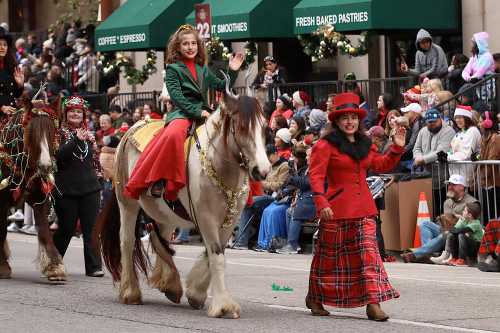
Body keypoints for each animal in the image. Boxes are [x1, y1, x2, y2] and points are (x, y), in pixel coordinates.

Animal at [0, 91, 66, 280]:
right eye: (30, 131)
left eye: (52, 131)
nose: (45, 166)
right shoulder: (2, 199)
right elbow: (1, 229)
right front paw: (3, 266)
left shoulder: (39, 196)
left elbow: (44, 229)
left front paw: (54, 266)